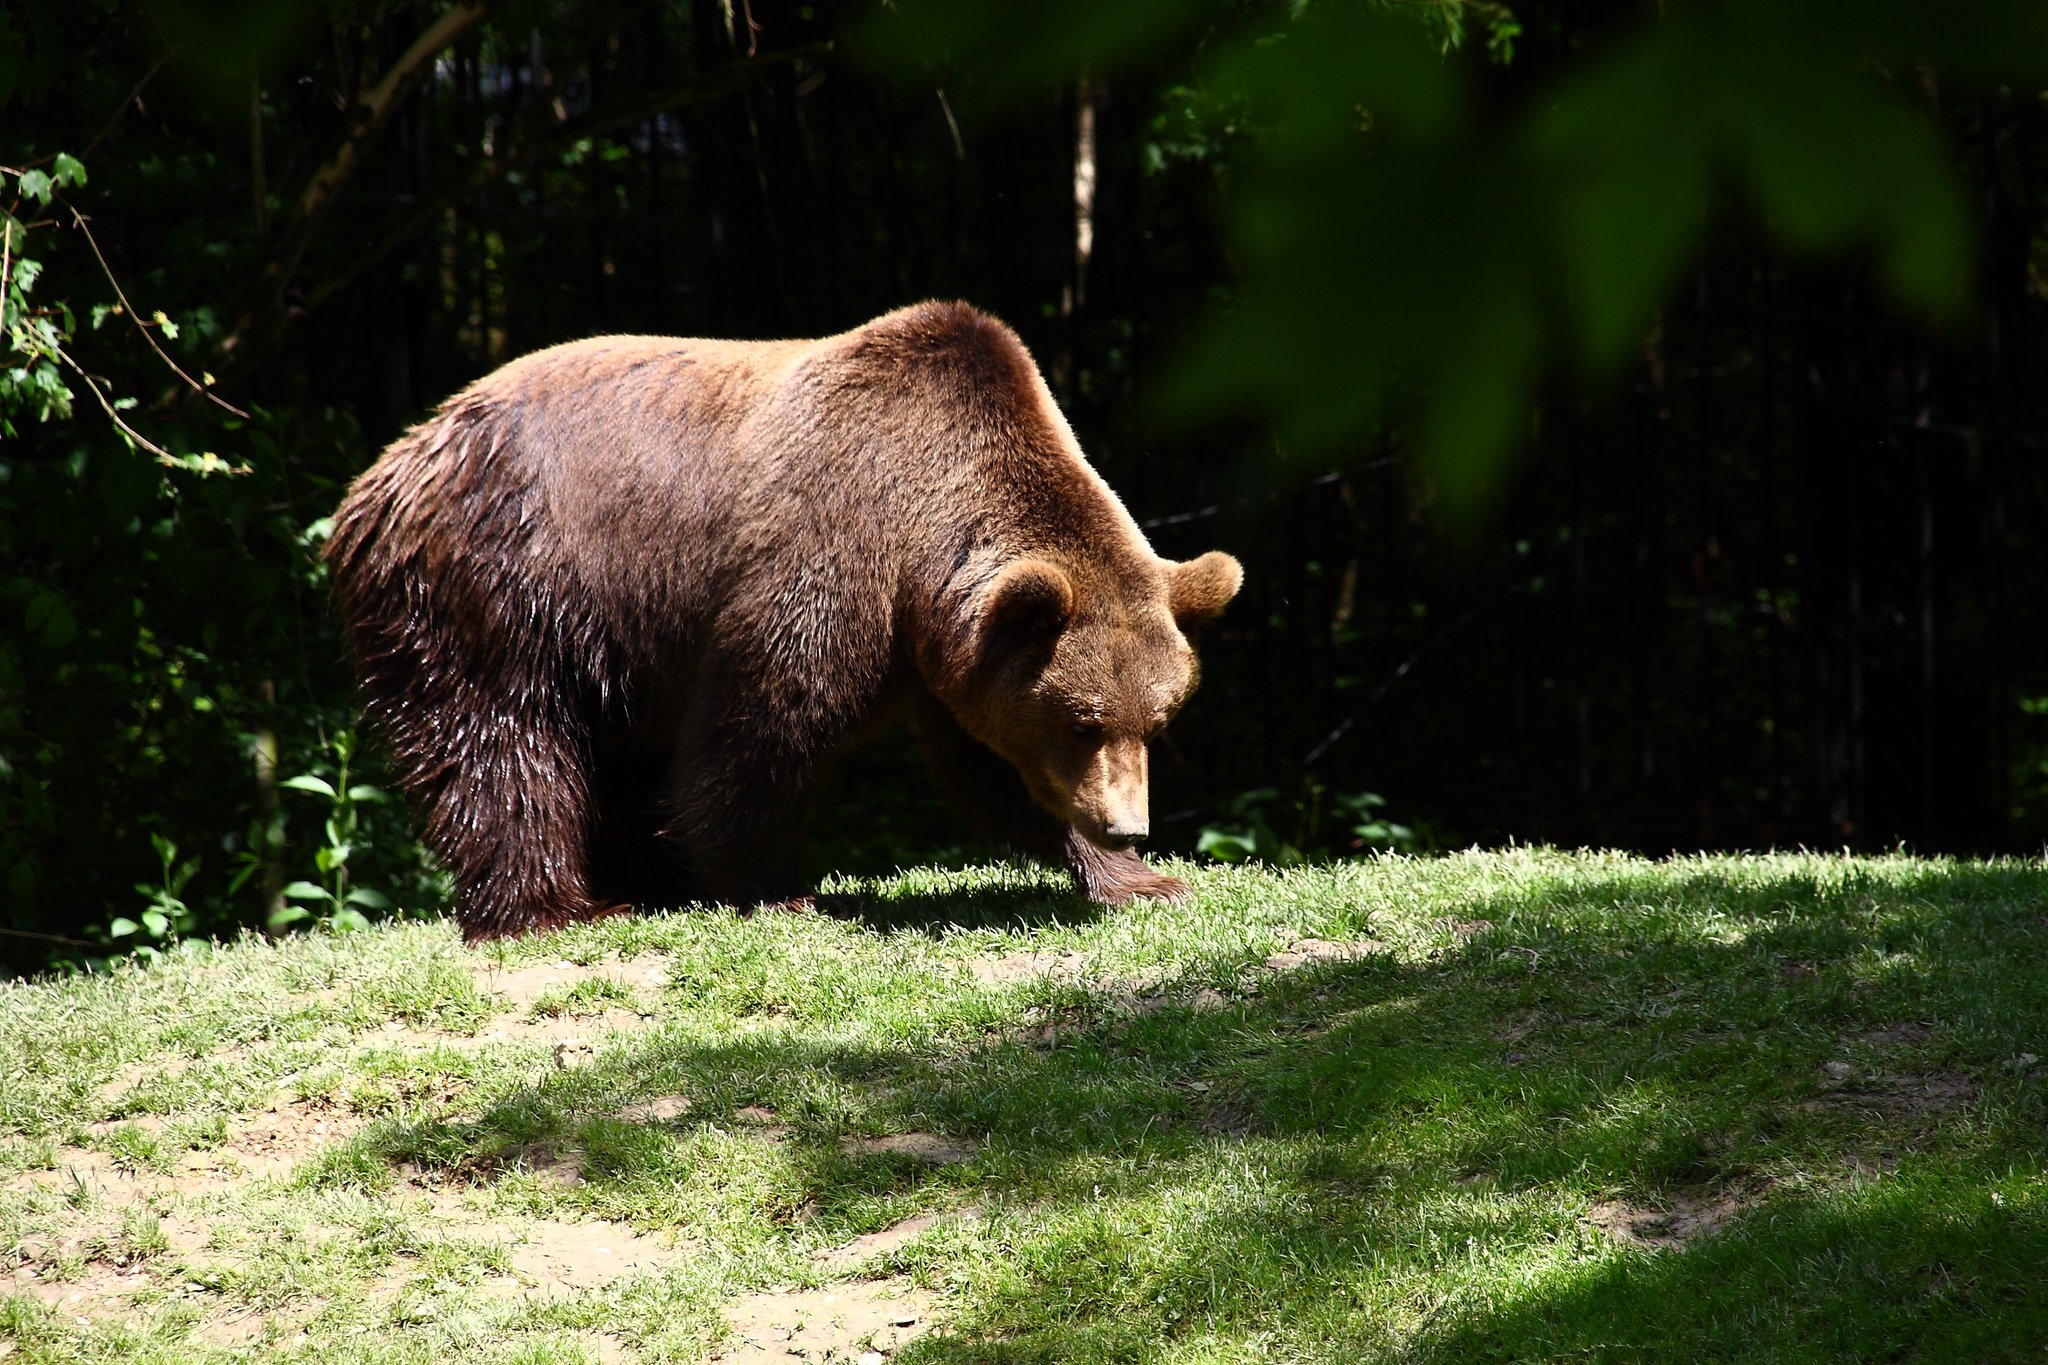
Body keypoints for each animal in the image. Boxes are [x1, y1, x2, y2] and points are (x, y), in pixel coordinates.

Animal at [324, 301, 1242, 940]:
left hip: (605, 640)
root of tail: (382, 474)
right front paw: (778, 886)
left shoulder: (954, 655)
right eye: (1083, 720)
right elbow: (765, 720)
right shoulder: (829, 544)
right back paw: (558, 906)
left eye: (1156, 720)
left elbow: (992, 766)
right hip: (505, 582)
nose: (1128, 820)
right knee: (503, 741)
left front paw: (1139, 876)